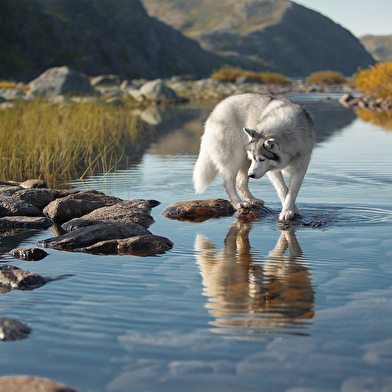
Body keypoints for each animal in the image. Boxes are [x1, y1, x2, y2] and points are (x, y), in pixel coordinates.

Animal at [193, 92, 316, 220]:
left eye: (262, 159)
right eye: (255, 158)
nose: (251, 175)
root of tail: (216, 110)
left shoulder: (300, 167)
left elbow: (292, 192)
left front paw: (289, 210)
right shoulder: (272, 170)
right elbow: (283, 189)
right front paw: (289, 210)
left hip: (245, 162)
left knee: (240, 182)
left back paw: (253, 200)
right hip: (235, 160)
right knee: (228, 183)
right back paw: (239, 203)